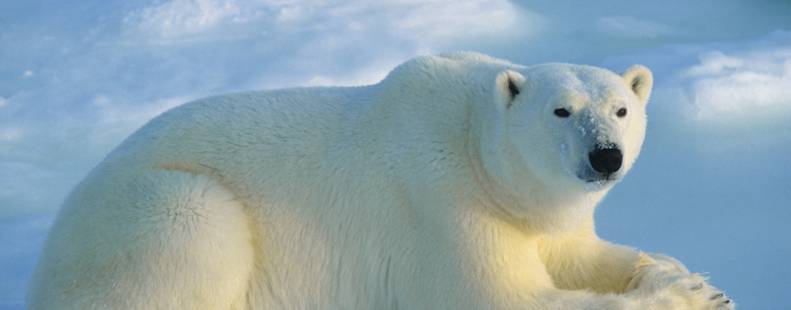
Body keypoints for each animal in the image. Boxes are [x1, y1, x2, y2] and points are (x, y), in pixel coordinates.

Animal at [27, 52, 732, 308]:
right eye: (561, 110)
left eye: (620, 108)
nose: (605, 156)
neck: (474, 144)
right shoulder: (444, 206)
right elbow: (505, 296)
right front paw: (682, 295)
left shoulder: (534, 212)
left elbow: (578, 254)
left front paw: (685, 273)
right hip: (158, 208)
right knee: (195, 225)